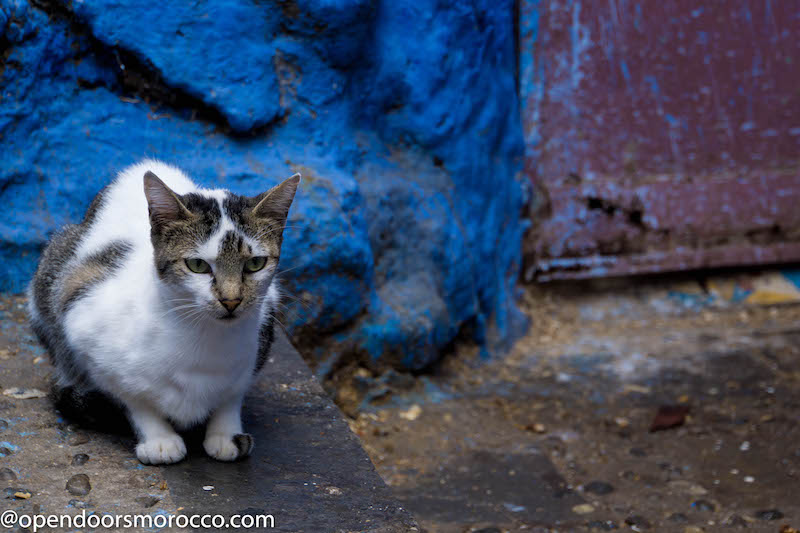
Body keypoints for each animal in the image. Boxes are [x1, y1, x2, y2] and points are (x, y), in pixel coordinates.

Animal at [27, 160, 300, 464]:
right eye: (197, 265)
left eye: (255, 264)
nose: (231, 300)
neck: (205, 338)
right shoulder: (83, 324)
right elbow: (132, 398)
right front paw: (159, 439)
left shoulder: (262, 331)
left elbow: (232, 395)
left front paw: (225, 433)